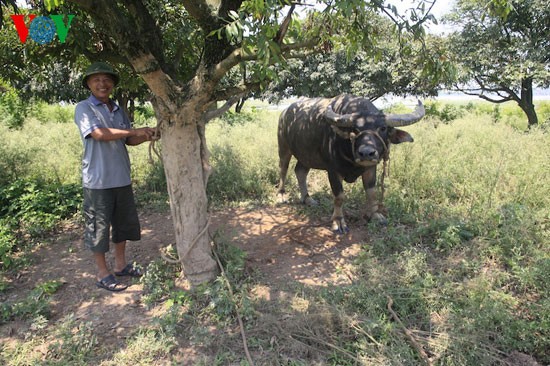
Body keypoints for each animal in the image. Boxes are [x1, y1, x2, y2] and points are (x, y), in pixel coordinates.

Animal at [276, 93, 426, 232]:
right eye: (355, 129)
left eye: (383, 128)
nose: (366, 153)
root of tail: (284, 113)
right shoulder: (333, 171)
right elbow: (339, 196)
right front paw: (338, 221)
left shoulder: (371, 168)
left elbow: (371, 192)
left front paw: (375, 215)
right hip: (284, 146)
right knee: (283, 169)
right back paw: (281, 195)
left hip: (306, 155)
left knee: (300, 171)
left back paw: (307, 199)